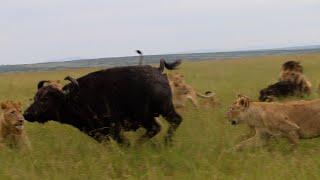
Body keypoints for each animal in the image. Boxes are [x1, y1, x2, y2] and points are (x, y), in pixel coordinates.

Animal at [23, 59, 182, 144]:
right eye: (35, 97)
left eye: (45, 99)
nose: (26, 114)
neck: (73, 98)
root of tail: (158, 70)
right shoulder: (97, 134)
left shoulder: (114, 129)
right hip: (151, 116)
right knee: (159, 127)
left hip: (158, 112)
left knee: (172, 122)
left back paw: (164, 143)